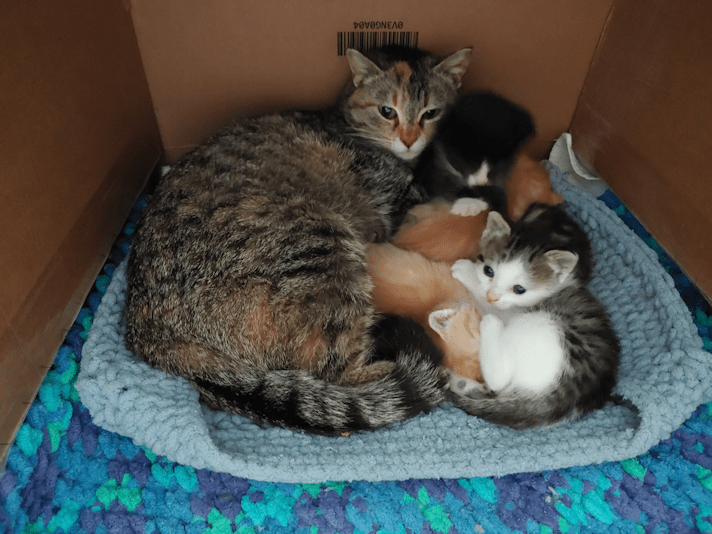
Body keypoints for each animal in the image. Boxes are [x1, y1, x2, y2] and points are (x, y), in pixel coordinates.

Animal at [124, 45, 472, 436]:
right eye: (387, 111)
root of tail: (144, 329)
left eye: (431, 113)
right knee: (337, 372)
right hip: (322, 243)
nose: (410, 140)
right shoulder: (396, 198)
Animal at [448, 203, 620, 429]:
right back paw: (462, 385)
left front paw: (465, 271)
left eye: (519, 289)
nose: (492, 295)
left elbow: (494, 306)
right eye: (488, 270)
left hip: (540, 324)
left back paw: (490, 325)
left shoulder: (514, 310)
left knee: (499, 380)